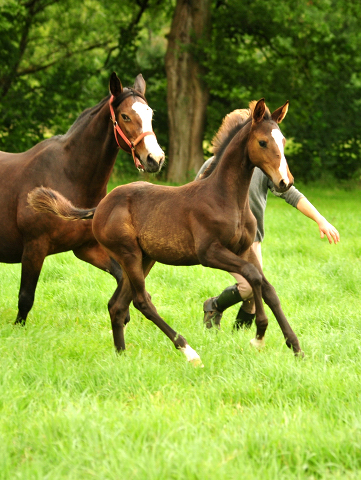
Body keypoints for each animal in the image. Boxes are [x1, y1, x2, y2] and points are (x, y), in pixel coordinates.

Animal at [0, 70, 163, 326]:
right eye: (125, 116)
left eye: (150, 115)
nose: (155, 159)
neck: (68, 175)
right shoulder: (34, 248)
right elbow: (25, 298)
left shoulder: (87, 248)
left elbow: (121, 276)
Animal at [29, 100, 302, 364]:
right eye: (263, 142)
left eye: (283, 141)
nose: (285, 182)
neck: (226, 197)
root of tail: (101, 206)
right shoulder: (209, 253)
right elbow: (253, 277)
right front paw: (259, 336)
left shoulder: (245, 249)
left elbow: (268, 288)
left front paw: (295, 346)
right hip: (128, 254)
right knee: (141, 301)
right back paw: (189, 352)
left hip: (144, 258)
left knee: (117, 305)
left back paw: (121, 356)